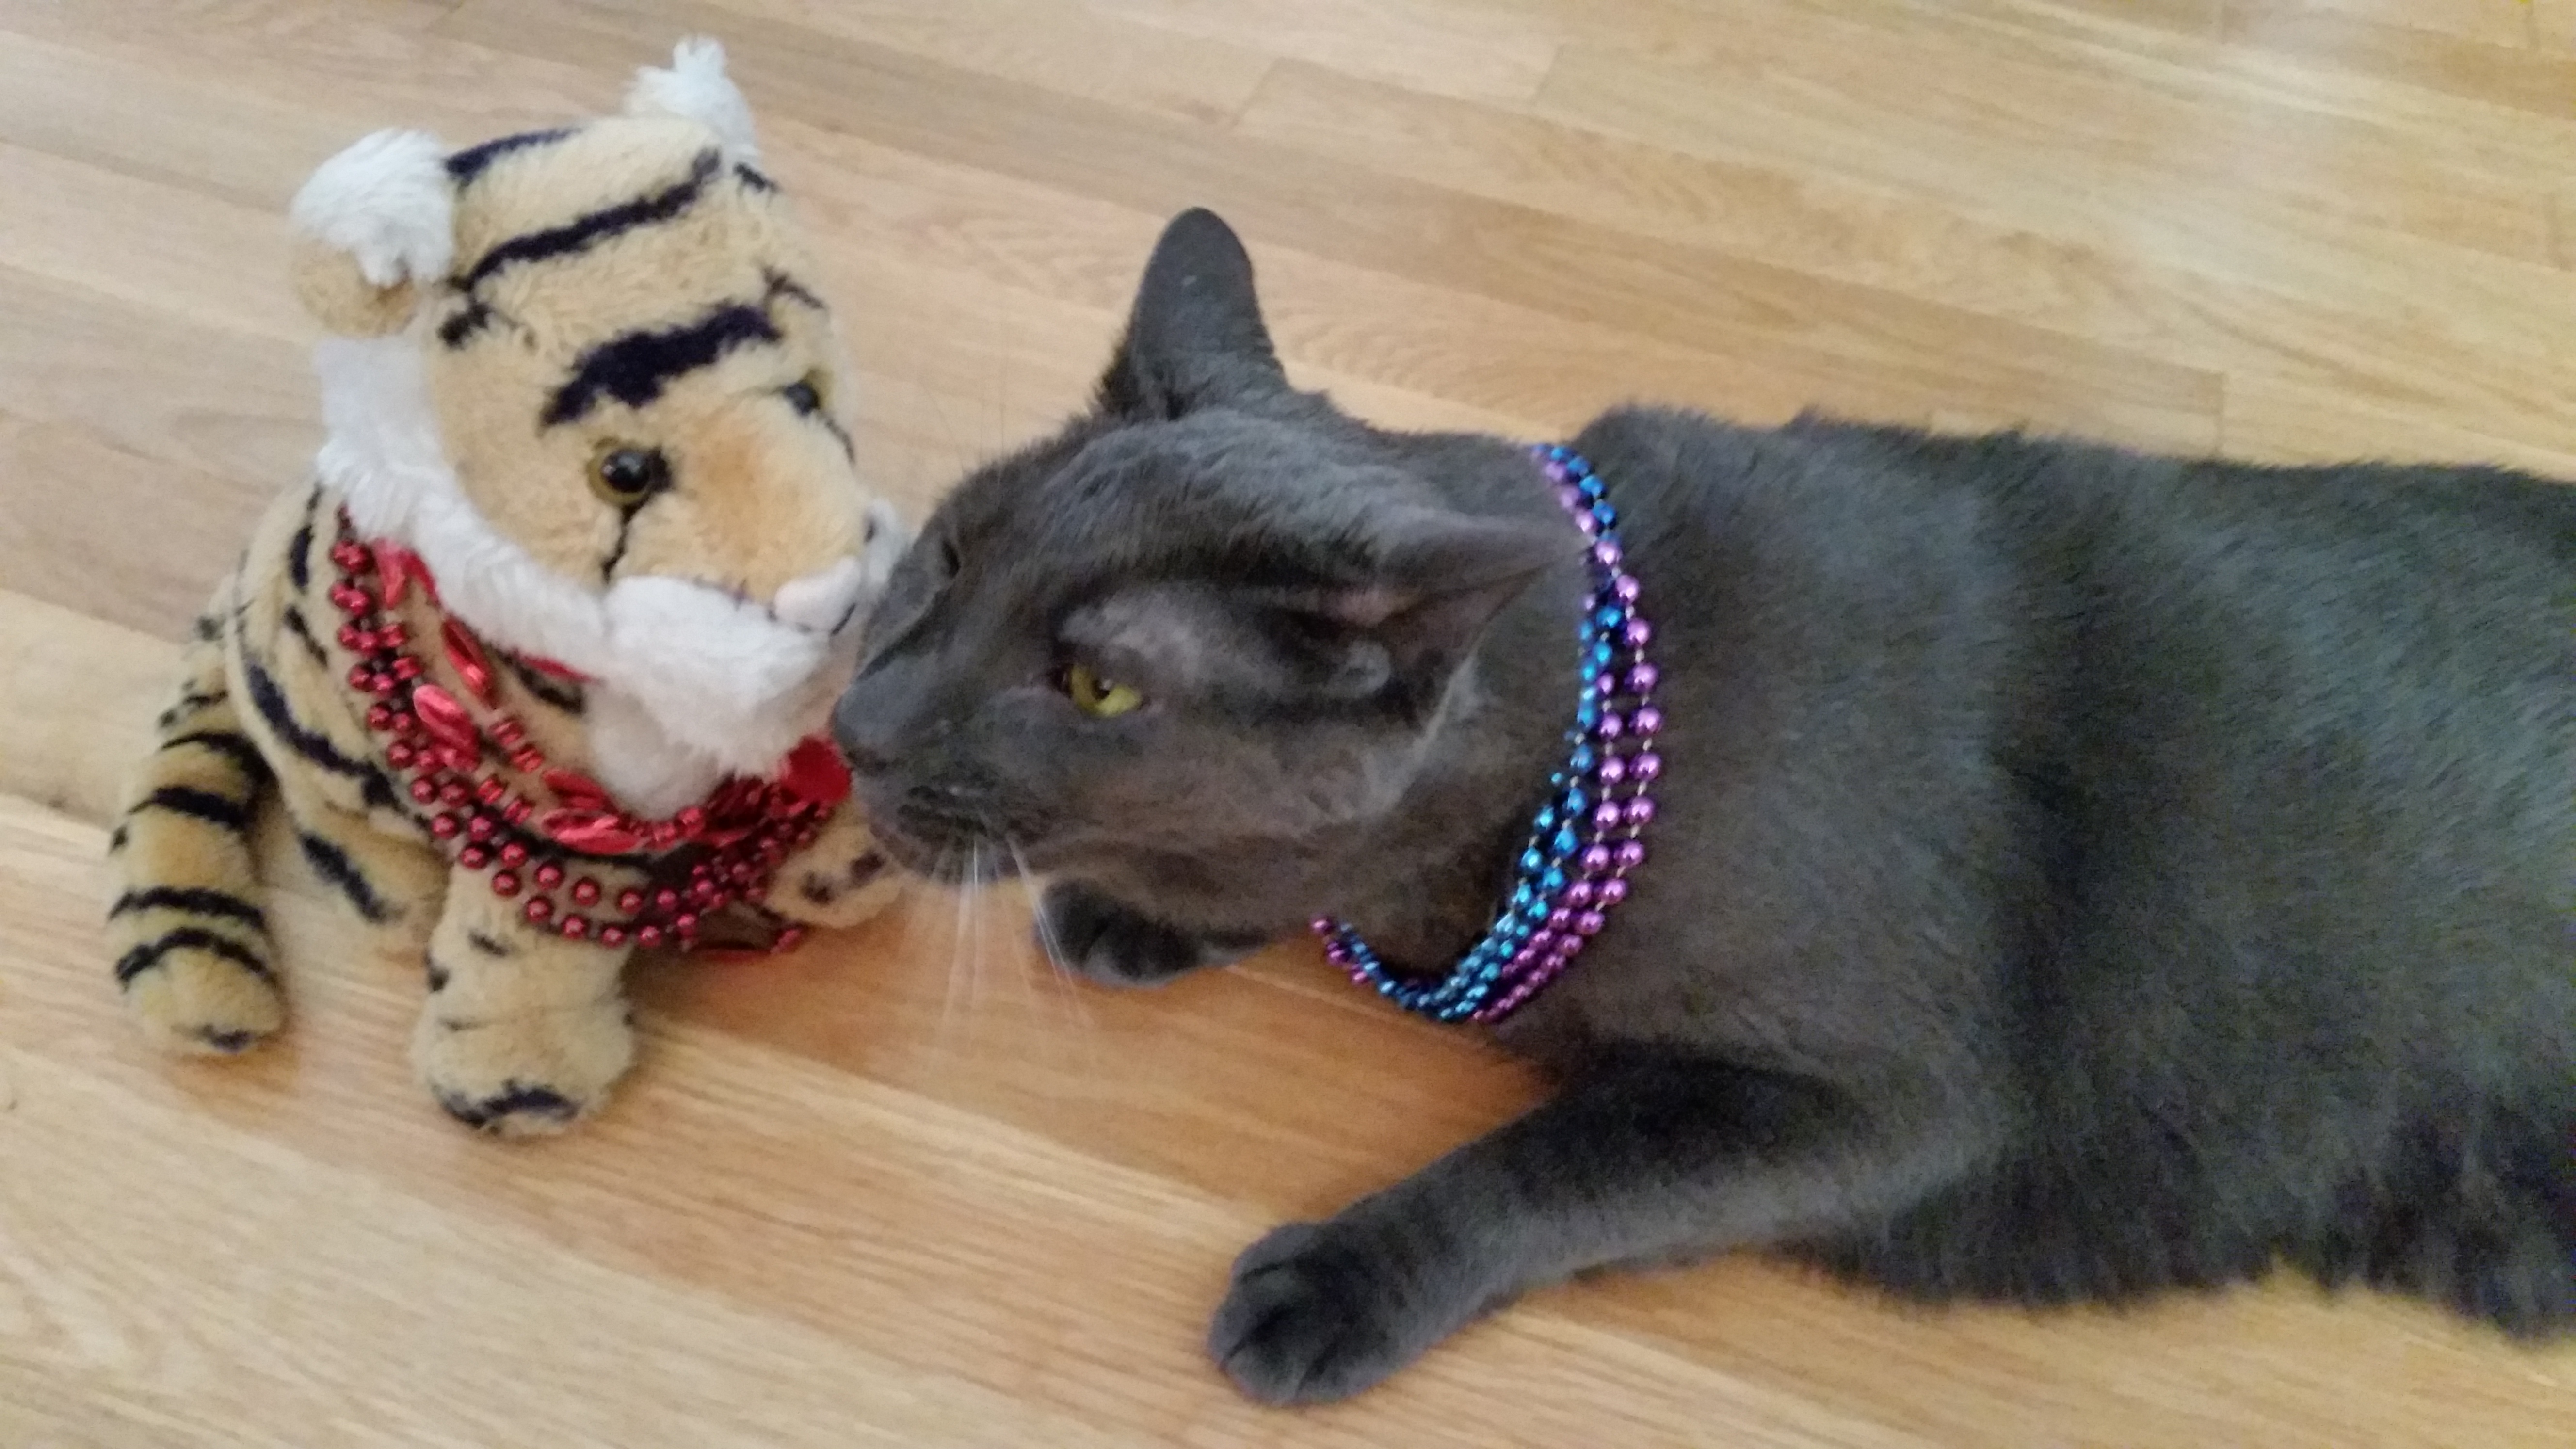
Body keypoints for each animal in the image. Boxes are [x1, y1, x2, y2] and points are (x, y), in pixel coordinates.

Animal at [832, 208, 2576, 1406]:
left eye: (1096, 687)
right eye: (953, 553)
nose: (856, 722)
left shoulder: (1895, 1102)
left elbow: (1553, 1167)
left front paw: (1338, 1277)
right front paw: (1147, 909)